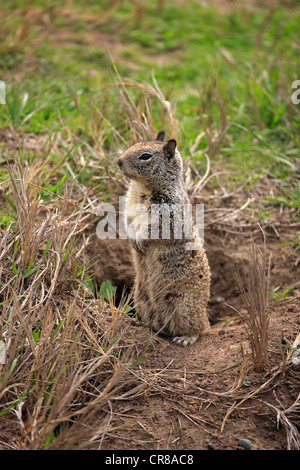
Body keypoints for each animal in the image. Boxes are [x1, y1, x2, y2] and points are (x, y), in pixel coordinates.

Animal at [118, 132, 211, 346]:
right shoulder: (129, 206)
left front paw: (140, 241)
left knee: (199, 329)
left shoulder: (169, 213)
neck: (143, 187)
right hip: (140, 297)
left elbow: (154, 229)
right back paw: (141, 324)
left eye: (145, 156)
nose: (118, 161)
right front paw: (133, 241)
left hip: (183, 305)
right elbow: (129, 222)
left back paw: (185, 338)